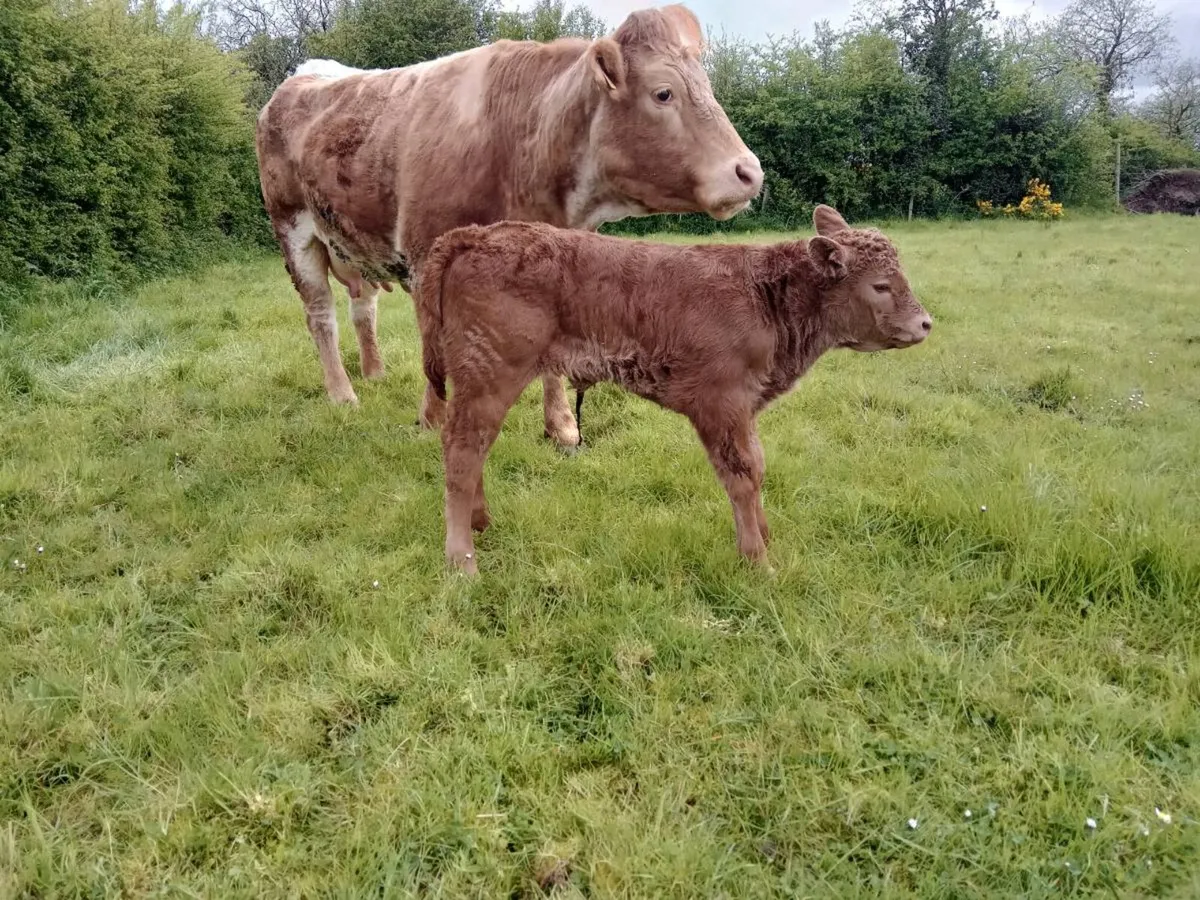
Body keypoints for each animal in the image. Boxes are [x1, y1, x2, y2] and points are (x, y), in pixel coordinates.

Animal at [254, 4, 763, 448]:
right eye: (663, 92)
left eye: (707, 87)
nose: (750, 171)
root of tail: (305, 73)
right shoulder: (424, 254)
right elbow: (434, 350)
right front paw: (433, 421)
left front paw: (562, 430)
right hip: (292, 228)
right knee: (320, 315)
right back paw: (343, 394)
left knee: (363, 307)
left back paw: (374, 372)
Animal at [417, 205, 933, 574]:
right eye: (881, 285)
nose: (925, 323)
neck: (765, 296)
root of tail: (474, 235)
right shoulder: (721, 404)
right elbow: (741, 476)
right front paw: (758, 562)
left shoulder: (744, 408)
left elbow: (758, 466)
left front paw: (765, 538)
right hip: (491, 373)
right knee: (462, 452)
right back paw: (462, 562)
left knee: (473, 447)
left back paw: (481, 522)